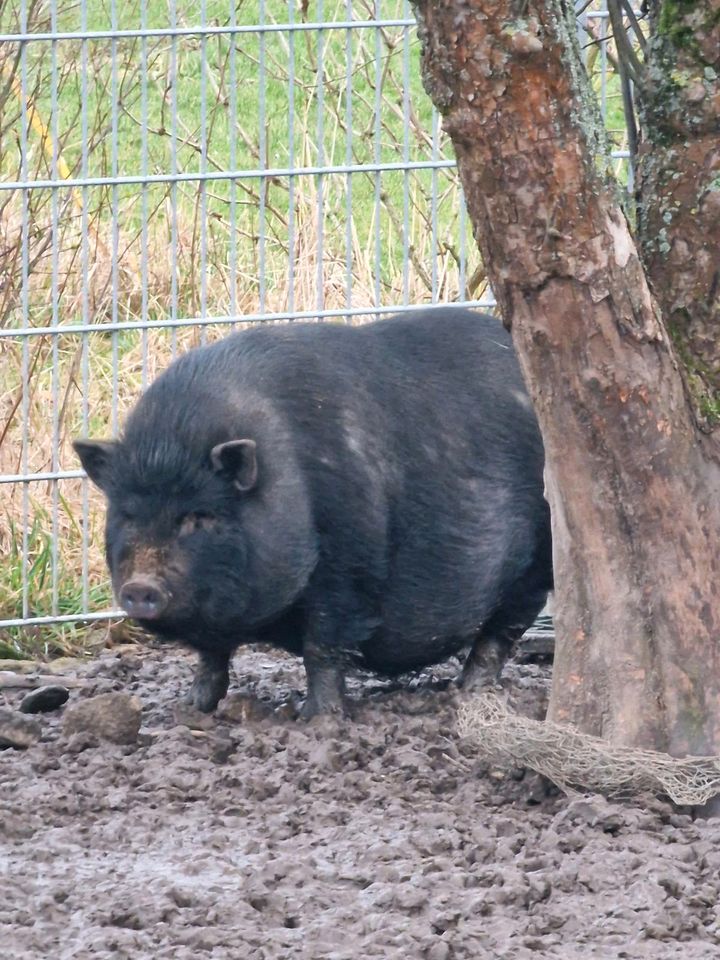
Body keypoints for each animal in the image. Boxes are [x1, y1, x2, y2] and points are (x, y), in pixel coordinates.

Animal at [74, 312, 552, 716]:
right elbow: (211, 656)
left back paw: (467, 689)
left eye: (199, 517)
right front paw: (190, 709)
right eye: (128, 515)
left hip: (539, 557)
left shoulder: (348, 564)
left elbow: (323, 647)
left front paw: (317, 719)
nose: (141, 586)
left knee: (504, 629)